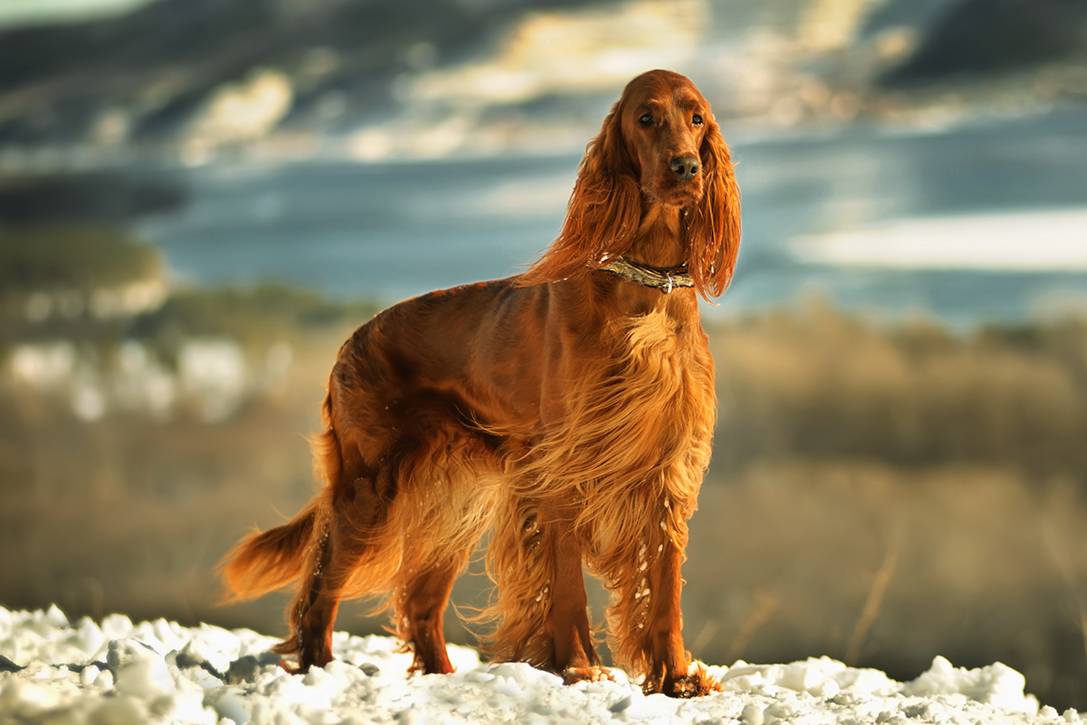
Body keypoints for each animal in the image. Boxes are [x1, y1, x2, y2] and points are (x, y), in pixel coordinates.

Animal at [225, 70, 743, 700]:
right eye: (646, 118)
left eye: (697, 119)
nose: (685, 167)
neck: (646, 288)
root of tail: (350, 342)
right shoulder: (559, 472)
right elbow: (566, 585)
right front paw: (579, 668)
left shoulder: (665, 469)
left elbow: (664, 589)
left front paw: (676, 679)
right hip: (370, 487)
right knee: (321, 584)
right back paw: (318, 671)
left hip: (453, 502)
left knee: (420, 602)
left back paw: (440, 678)